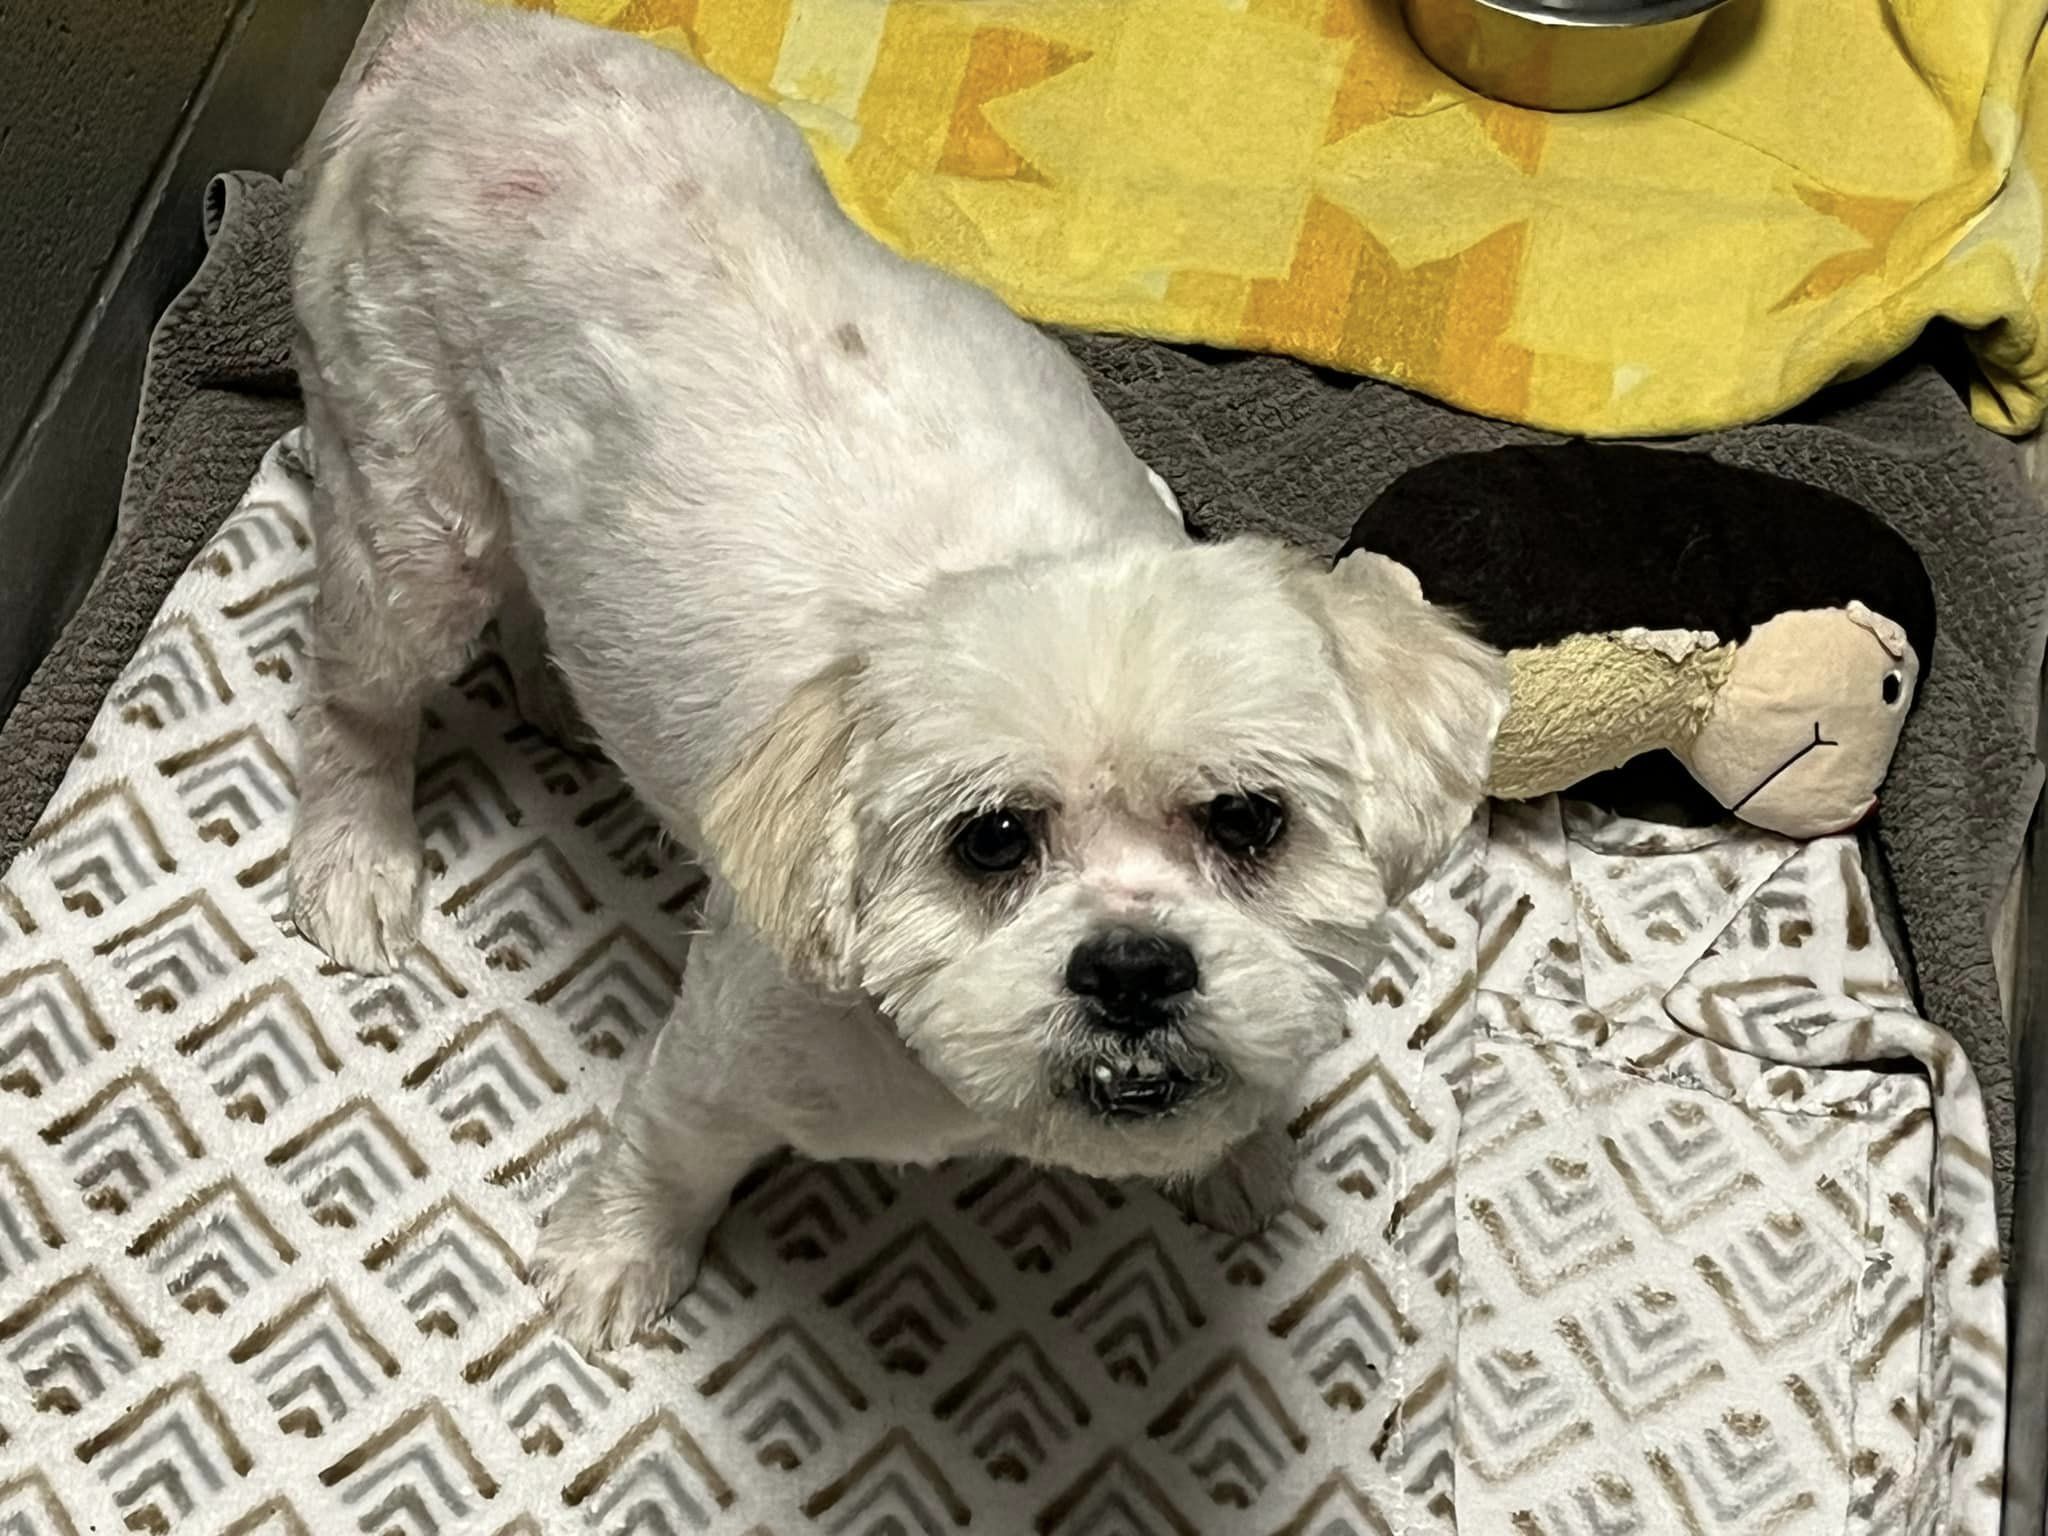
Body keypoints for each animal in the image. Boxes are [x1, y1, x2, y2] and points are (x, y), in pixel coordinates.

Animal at [288, 0, 1507, 1351]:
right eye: (989, 842)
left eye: (1248, 820)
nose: (1131, 969)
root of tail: (457, 39)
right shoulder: (732, 1050)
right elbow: (666, 1144)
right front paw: (617, 1254)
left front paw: (1235, 1154)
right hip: (408, 489)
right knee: (361, 692)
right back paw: (356, 853)